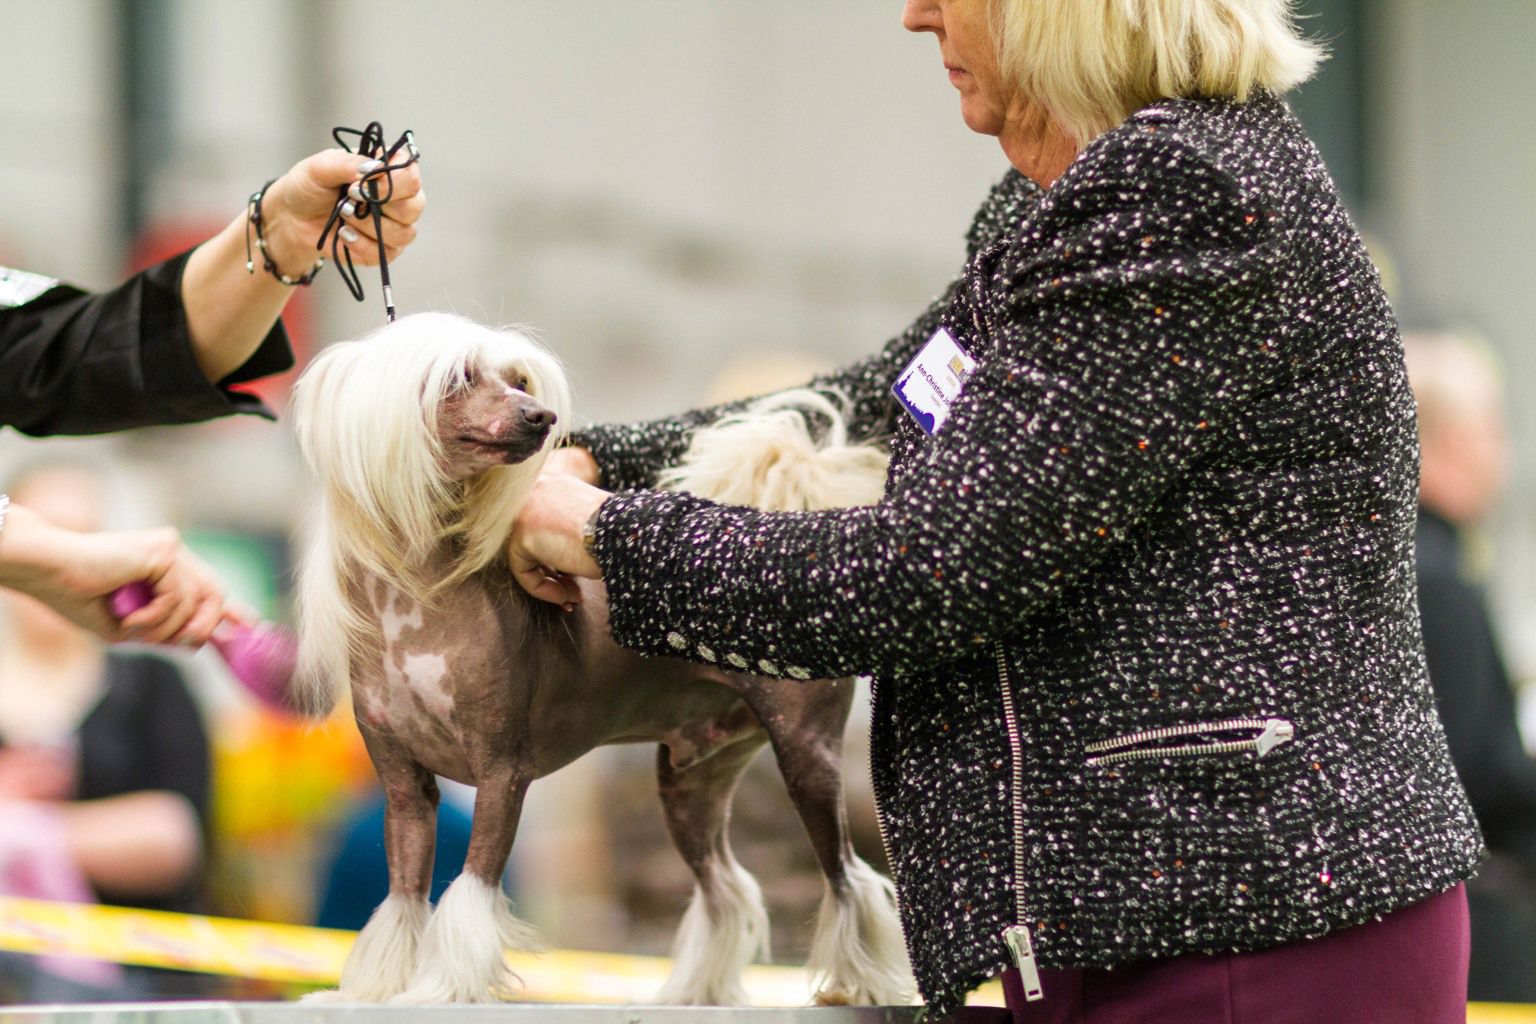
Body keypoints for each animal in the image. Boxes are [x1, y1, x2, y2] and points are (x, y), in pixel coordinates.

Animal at [288, 314, 909, 1007]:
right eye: (459, 378)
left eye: (519, 379)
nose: (541, 417)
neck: (420, 600)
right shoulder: (404, 787)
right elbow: (402, 898)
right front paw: (373, 991)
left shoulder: (503, 771)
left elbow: (471, 890)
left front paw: (444, 988)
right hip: (691, 778)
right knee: (725, 886)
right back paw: (694, 994)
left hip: (806, 756)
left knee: (847, 877)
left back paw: (857, 986)